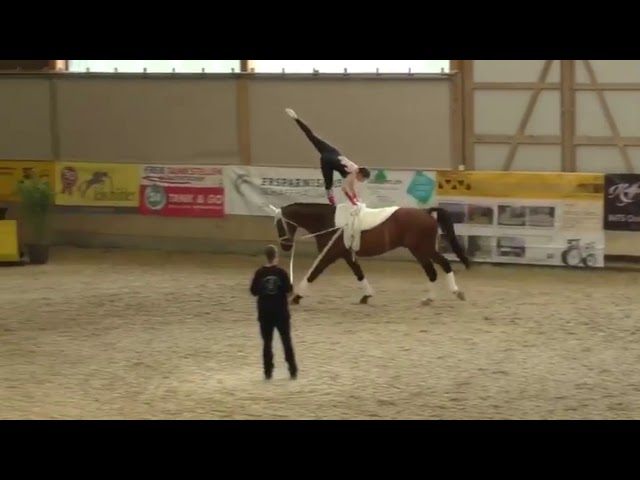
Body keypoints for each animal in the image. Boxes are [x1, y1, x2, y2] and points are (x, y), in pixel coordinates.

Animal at [270, 202, 470, 306]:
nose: (285, 245)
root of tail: (426, 212)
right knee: (435, 270)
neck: (329, 222)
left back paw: (452, 293)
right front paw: (366, 296)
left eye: (279, 224)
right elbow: (359, 274)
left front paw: (296, 296)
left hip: (421, 249)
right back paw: (433, 297)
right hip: (422, 250)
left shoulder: (329, 256)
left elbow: (313, 274)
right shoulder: (346, 256)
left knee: (440, 267)